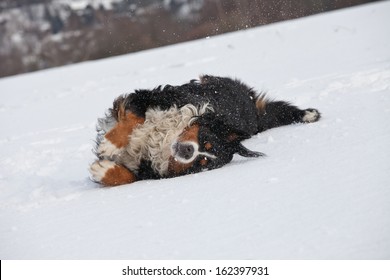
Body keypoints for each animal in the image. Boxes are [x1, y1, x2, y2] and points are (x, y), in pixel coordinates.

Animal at [90, 75, 322, 187]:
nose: (188, 151)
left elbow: (130, 177)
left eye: (202, 161)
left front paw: (104, 171)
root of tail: (253, 114)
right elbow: (133, 120)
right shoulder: (149, 99)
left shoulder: (147, 169)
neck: (167, 138)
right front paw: (110, 145)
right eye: (204, 138)